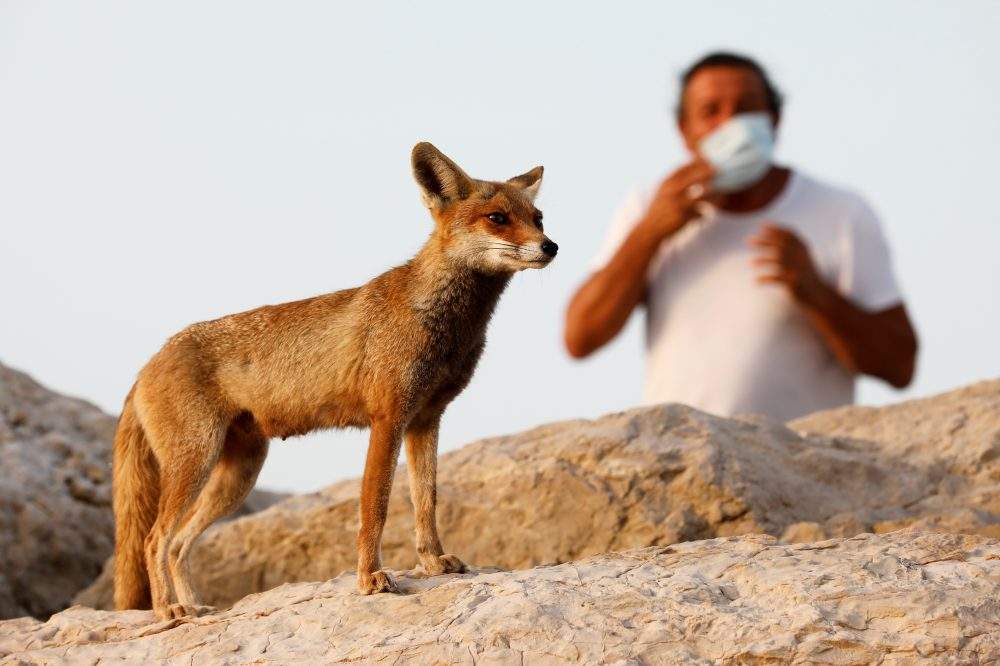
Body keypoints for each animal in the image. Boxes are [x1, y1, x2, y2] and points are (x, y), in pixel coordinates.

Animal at [112, 142, 557, 620]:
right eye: (497, 218)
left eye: (538, 218)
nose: (551, 246)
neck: (444, 325)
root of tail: (146, 365)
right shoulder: (388, 419)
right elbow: (375, 507)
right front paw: (370, 578)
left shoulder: (426, 419)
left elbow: (426, 502)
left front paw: (433, 562)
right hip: (195, 463)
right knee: (154, 540)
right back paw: (168, 611)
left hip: (237, 475)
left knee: (178, 544)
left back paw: (197, 608)